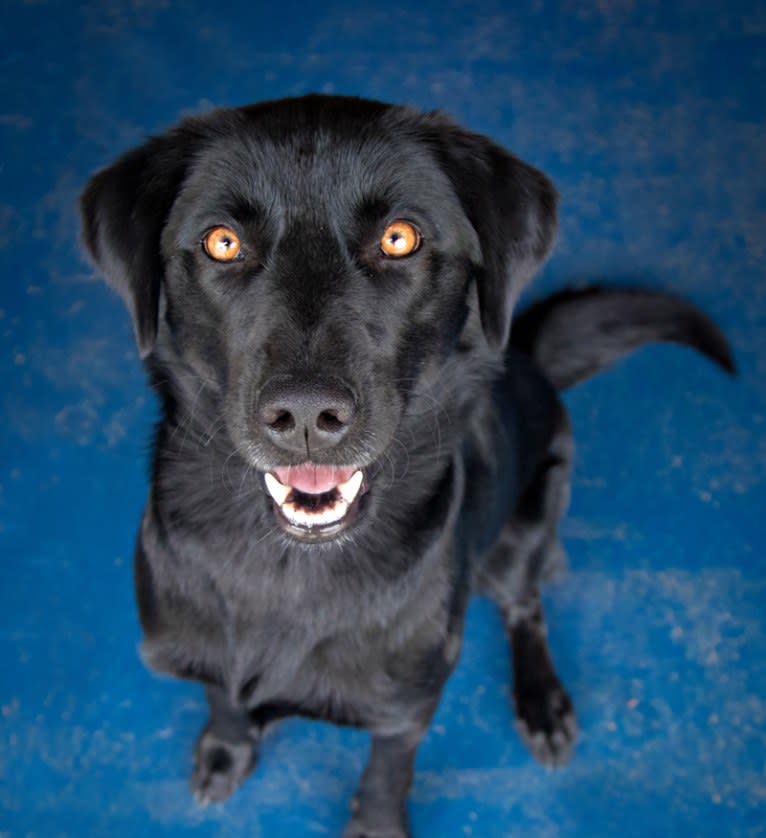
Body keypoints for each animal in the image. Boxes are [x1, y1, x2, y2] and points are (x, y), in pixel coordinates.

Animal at [81, 95, 736, 836]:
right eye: (222, 242)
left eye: (399, 238)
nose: (305, 412)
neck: (289, 574)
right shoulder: (205, 650)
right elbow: (223, 692)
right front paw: (228, 744)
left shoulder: (407, 707)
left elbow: (387, 772)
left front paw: (375, 824)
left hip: (525, 529)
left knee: (526, 604)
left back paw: (542, 701)